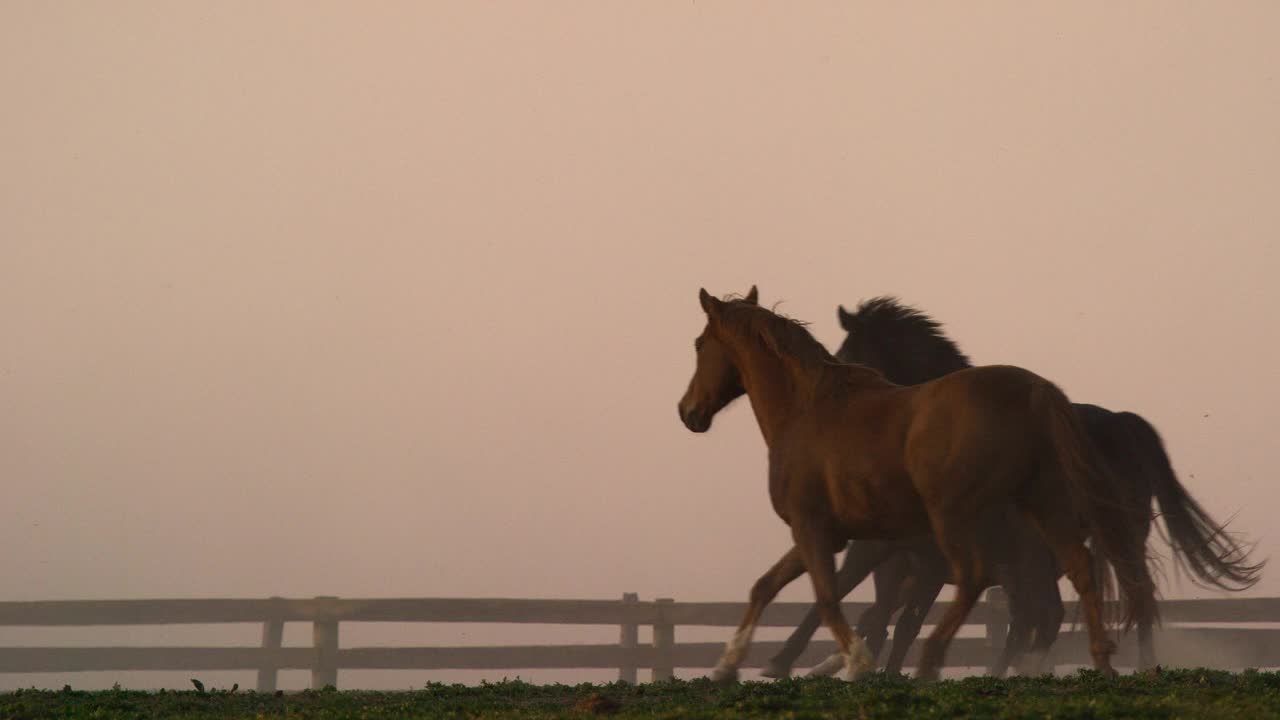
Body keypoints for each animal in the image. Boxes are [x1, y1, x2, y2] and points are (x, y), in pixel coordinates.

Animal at [680, 285, 1162, 676]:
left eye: (700, 343)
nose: (688, 412)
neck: (807, 410)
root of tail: (1036, 393)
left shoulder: (829, 534)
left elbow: (837, 602)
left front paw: (842, 664)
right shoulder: (839, 539)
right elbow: (770, 587)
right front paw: (730, 666)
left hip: (963, 524)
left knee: (992, 590)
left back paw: (939, 661)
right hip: (1045, 512)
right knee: (1079, 581)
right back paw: (1099, 660)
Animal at [762, 294, 1264, 676]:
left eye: (846, 355)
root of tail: (1124, 422)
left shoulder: (907, 555)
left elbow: (869, 608)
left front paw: (788, 663)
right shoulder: (906, 557)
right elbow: (879, 613)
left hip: (1106, 538)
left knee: (1119, 597)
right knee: (1055, 612)